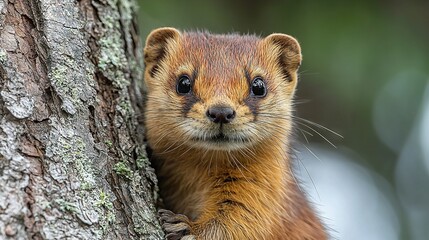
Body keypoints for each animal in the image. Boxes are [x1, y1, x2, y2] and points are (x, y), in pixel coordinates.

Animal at [142, 27, 326, 239]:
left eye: (259, 86)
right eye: (183, 83)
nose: (221, 111)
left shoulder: (259, 199)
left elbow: (236, 224)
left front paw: (184, 226)